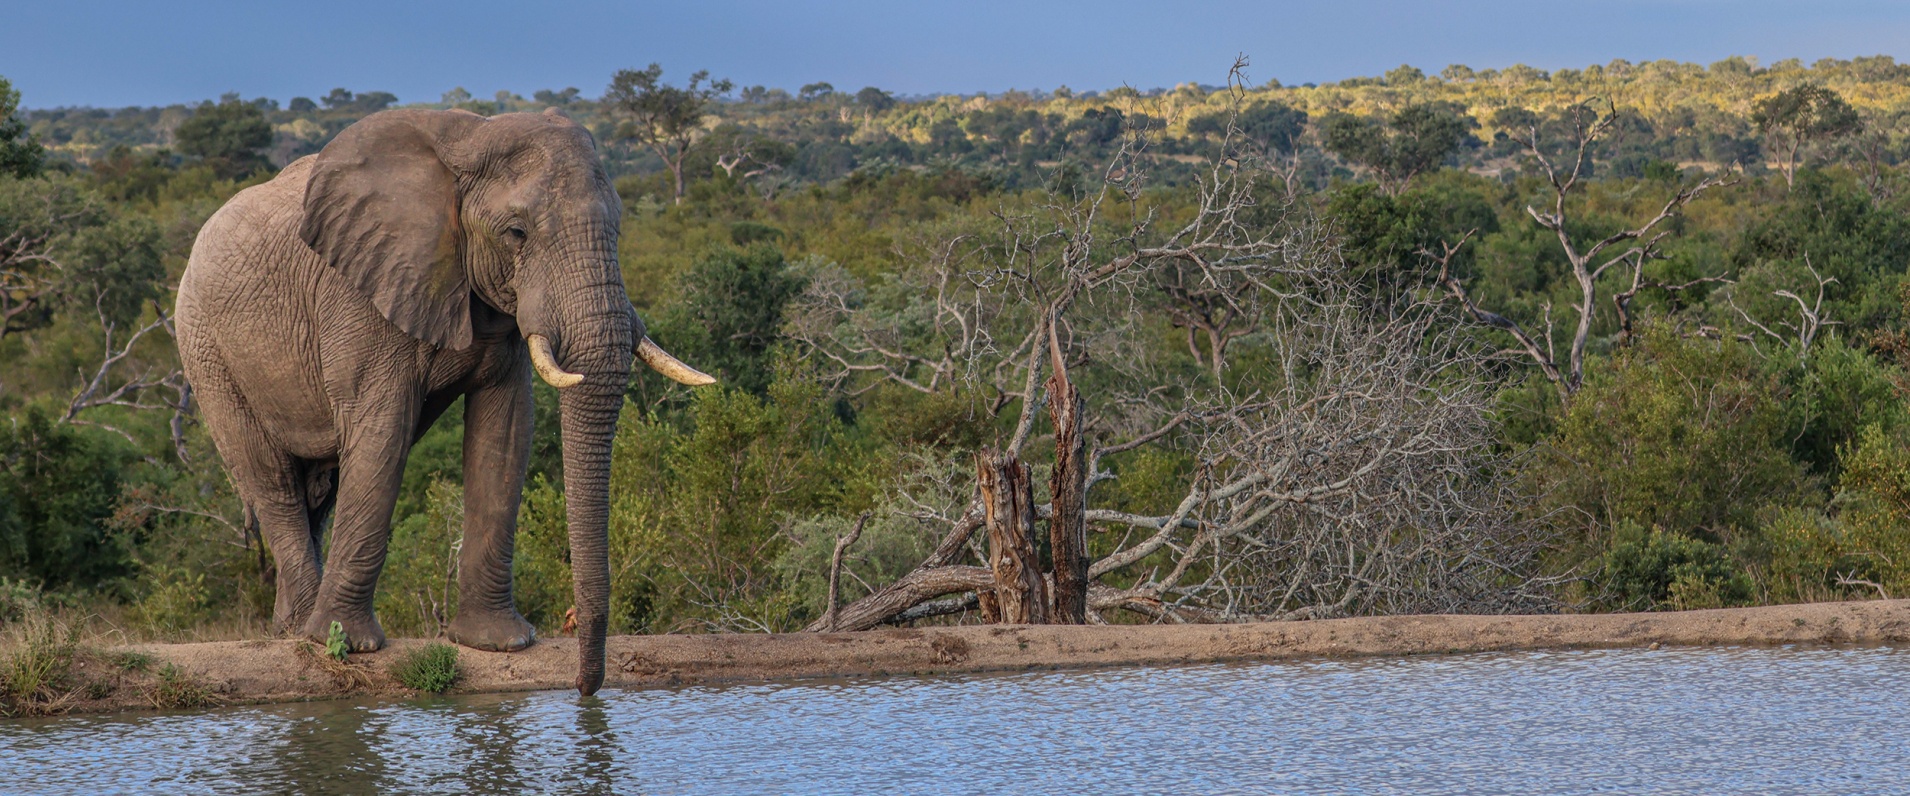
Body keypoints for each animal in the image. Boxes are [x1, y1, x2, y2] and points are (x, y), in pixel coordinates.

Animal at [175, 107, 712, 695]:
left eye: (617, 228)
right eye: (516, 233)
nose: (585, 689)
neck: (470, 137)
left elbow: (505, 433)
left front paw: (499, 642)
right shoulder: (360, 293)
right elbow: (382, 432)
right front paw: (349, 645)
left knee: (320, 489)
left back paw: (291, 628)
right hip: (206, 350)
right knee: (272, 481)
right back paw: (303, 633)